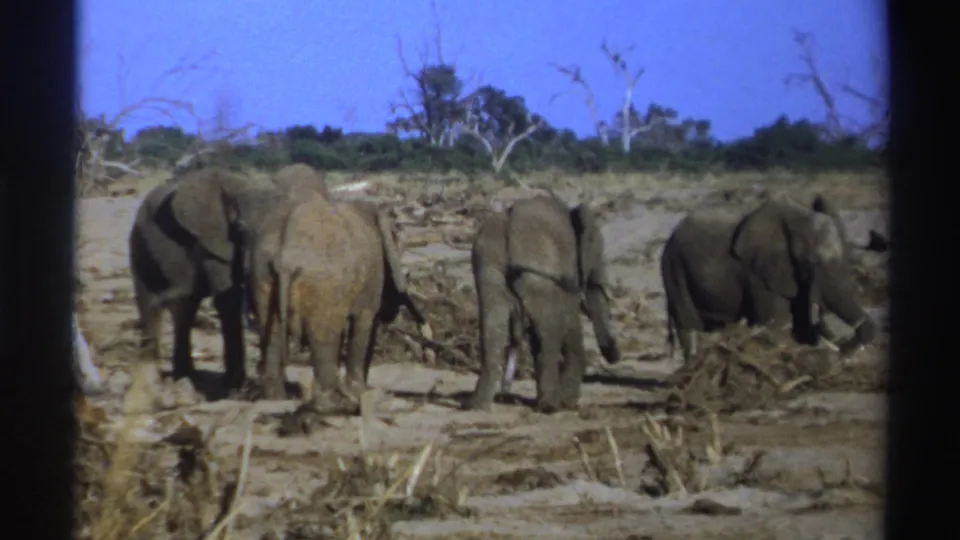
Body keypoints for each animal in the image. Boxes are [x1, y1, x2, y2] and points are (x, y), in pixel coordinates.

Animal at [128, 167, 288, 393]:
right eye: (241, 229)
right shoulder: (211, 240)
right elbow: (228, 301)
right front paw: (234, 386)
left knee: (184, 310)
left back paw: (183, 374)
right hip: (139, 242)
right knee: (150, 303)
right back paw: (154, 376)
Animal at [248, 189, 424, 405]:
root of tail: (286, 258)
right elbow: (364, 323)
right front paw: (360, 392)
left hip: (262, 273)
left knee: (270, 332)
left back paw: (276, 399)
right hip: (323, 283)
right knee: (324, 336)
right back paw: (331, 400)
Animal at [468, 194, 622, 414]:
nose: (615, 355)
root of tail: (508, 224)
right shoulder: (566, 274)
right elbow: (569, 318)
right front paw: (568, 403)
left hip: (488, 264)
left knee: (493, 326)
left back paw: (477, 406)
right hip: (539, 269)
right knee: (548, 332)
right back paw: (550, 406)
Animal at [660, 193, 877, 362]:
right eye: (811, 261)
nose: (842, 351)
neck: (797, 218)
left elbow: (800, 326)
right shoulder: (759, 272)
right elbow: (774, 325)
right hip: (673, 265)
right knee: (689, 326)